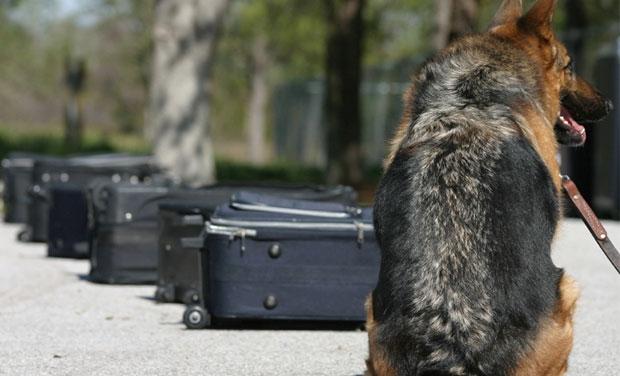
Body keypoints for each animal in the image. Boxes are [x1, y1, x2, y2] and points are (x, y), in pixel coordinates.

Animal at [366, 0, 612, 376]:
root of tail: (454, 348)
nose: (609, 105)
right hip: (566, 289)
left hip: (373, 311)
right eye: (569, 66)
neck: (469, 94)